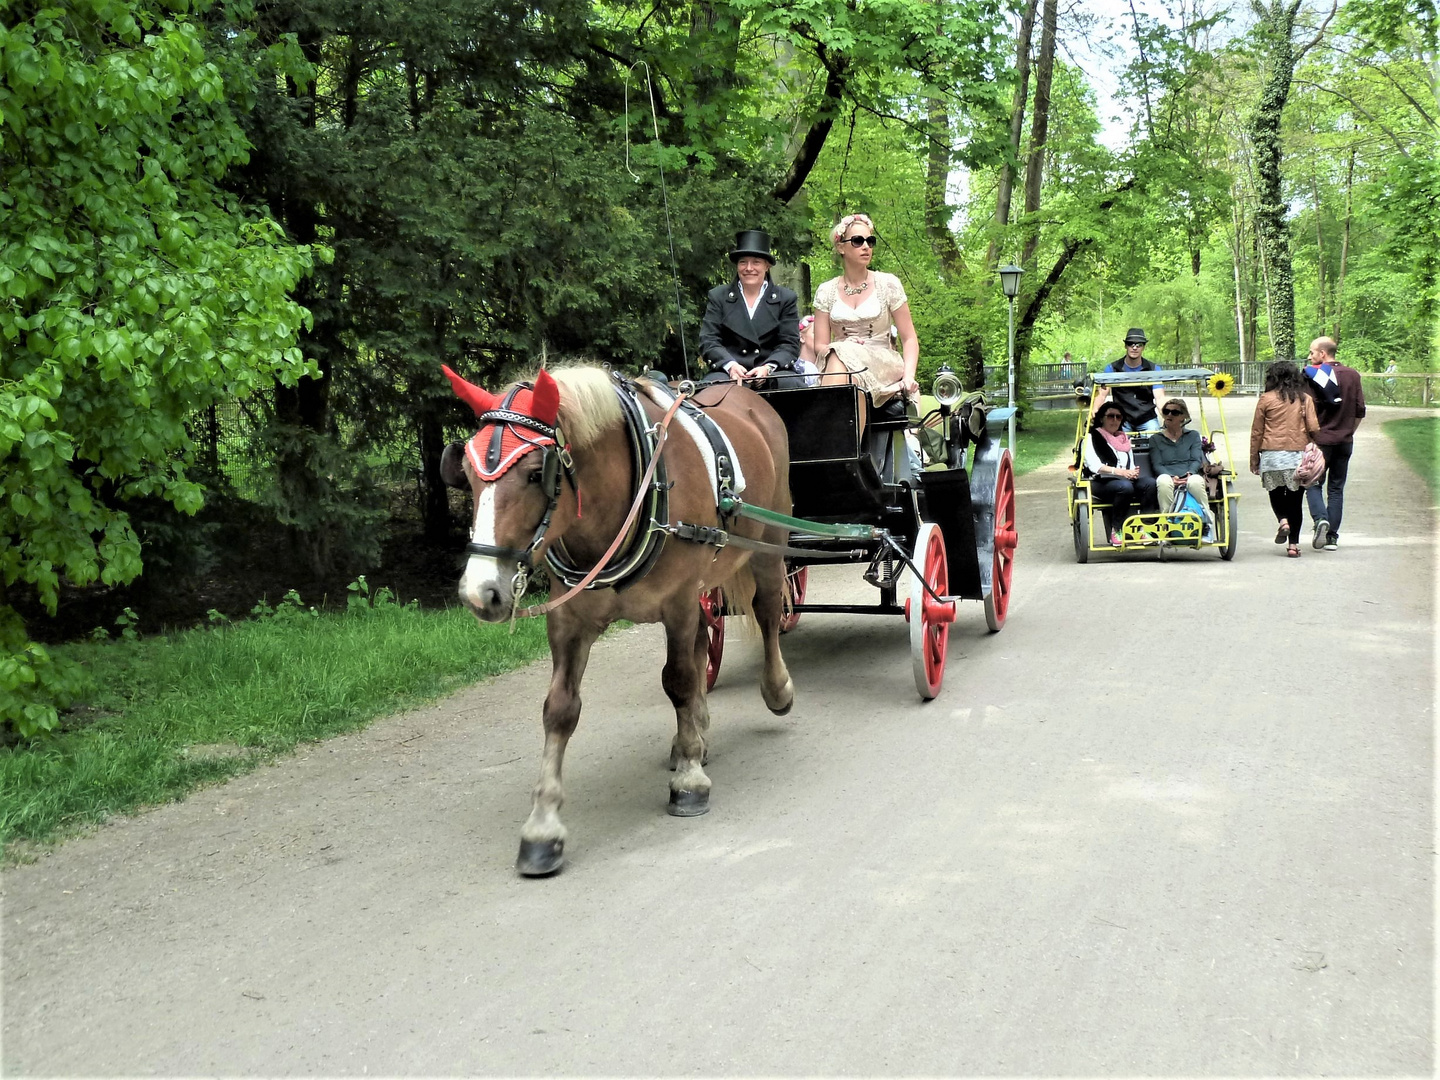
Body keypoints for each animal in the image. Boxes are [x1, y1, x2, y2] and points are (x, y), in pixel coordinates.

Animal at [437, 365, 800, 881]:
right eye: (465, 474)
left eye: (535, 474)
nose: (479, 591)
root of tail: (747, 394)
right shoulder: (569, 619)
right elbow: (560, 709)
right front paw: (543, 827)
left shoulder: (678, 601)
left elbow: (678, 681)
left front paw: (690, 782)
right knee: (703, 644)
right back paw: (696, 735)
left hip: (769, 540)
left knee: (768, 611)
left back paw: (775, 691)